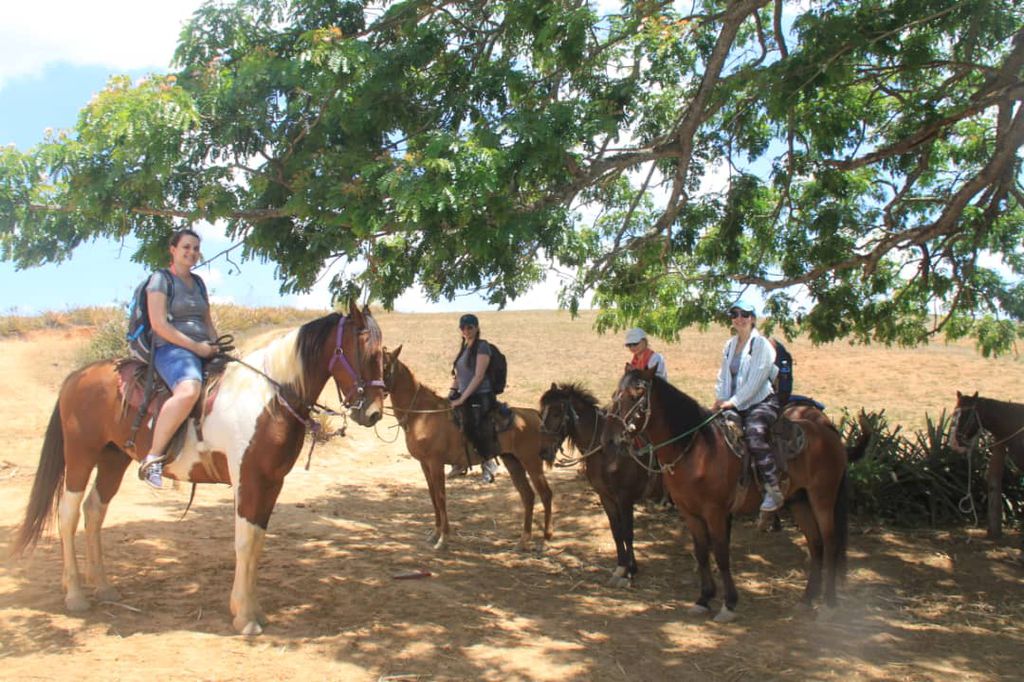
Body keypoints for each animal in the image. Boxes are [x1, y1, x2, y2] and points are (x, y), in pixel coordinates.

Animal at [11, 301, 387, 630]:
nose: (373, 413)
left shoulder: (271, 482)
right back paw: (75, 594)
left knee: (94, 511)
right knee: (68, 514)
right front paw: (245, 616)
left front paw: (253, 609)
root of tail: (78, 376)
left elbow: (257, 543)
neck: (269, 399)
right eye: (369, 353)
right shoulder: (249, 480)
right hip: (81, 455)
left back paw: (103, 587)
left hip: (112, 459)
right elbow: (244, 542)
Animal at [536, 382, 655, 585]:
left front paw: (631, 570)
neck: (606, 450)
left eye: (557, 413)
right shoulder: (605, 496)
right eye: (541, 412)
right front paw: (621, 567)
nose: (543, 451)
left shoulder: (625, 498)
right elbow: (617, 531)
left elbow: (628, 532)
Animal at [602, 368, 868, 618]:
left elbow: (721, 554)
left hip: (822, 498)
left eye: (637, 393)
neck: (697, 451)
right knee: (816, 545)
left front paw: (728, 604)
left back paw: (829, 603)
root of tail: (829, 432)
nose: (611, 437)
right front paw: (704, 599)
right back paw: (807, 599)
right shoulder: (689, 512)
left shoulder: (715, 512)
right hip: (799, 501)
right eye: (616, 393)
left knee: (831, 543)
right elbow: (701, 552)